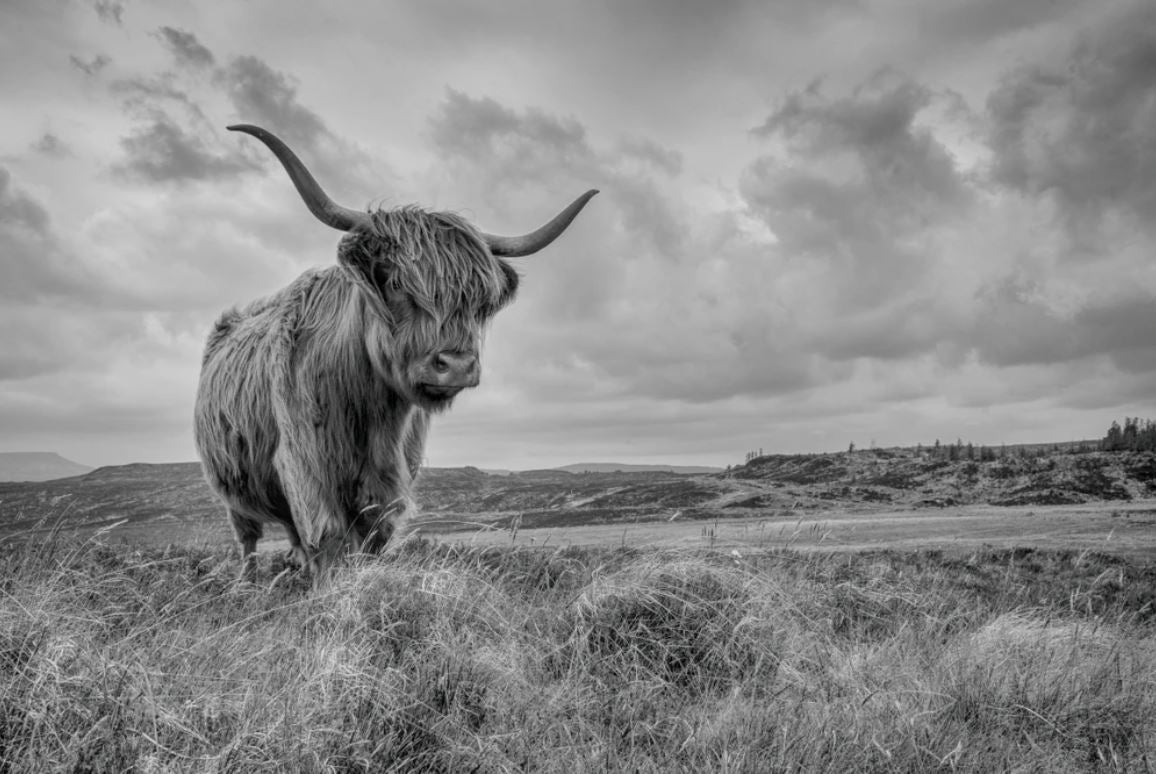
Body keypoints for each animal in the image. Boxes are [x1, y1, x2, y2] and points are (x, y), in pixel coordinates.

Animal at [194, 124, 596, 583]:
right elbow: (328, 538)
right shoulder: (305, 465)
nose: (456, 365)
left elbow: (373, 537)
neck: (371, 411)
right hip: (230, 484)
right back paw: (248, 583)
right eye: (395, 282)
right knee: (247, 536)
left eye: (479, 300)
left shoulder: (391, 478)